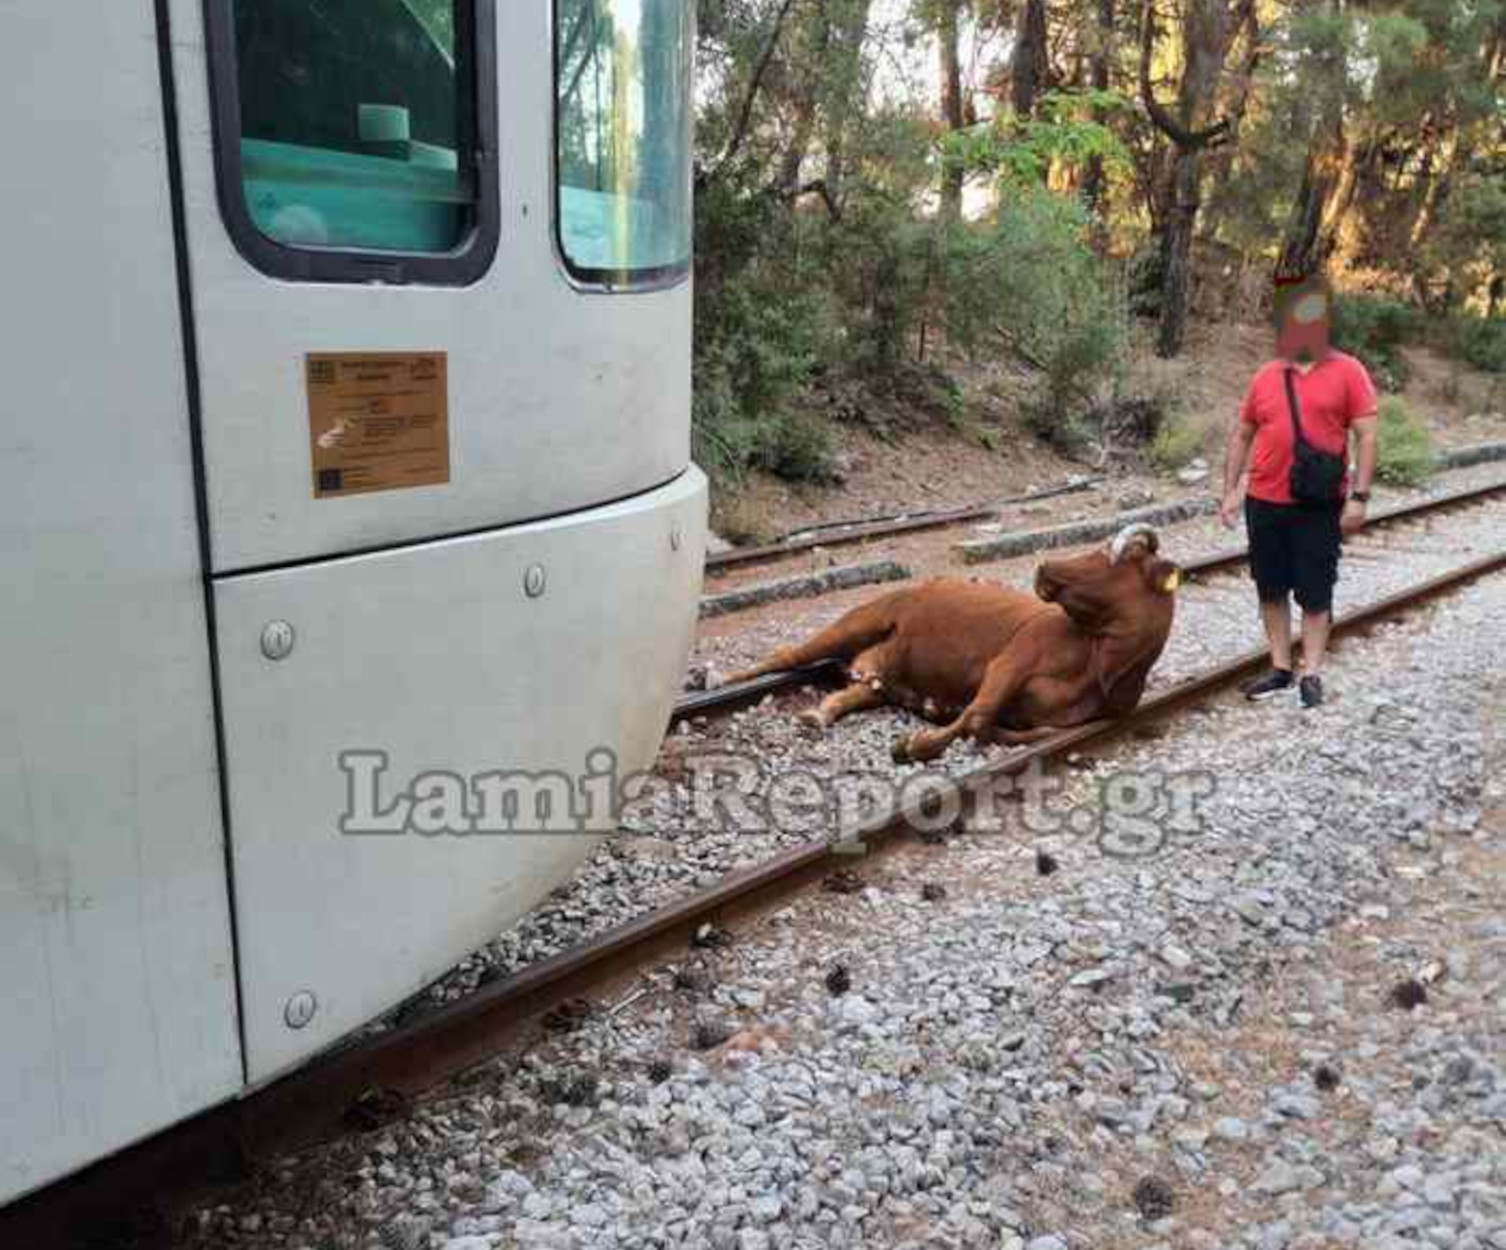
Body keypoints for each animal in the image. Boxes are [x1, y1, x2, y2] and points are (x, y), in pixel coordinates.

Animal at [722, 521, 1180, 765]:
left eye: (1110, 557)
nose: (1044, 566)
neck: (1098, 665)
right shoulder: (1009, 663)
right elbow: (977, 715)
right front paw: (915, 744)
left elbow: (1030, 731)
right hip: (859, 619)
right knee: (785, 655)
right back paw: (719, 678)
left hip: (880, 675)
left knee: (852, 694)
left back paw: (819, 713)